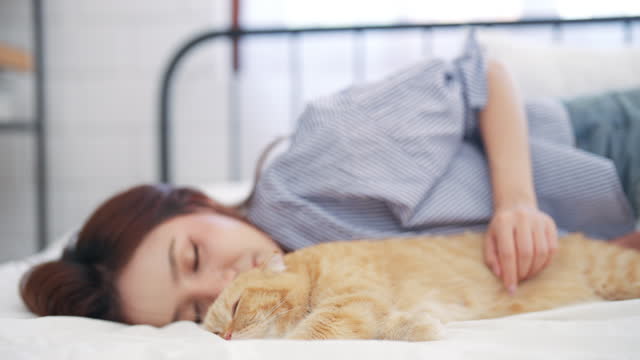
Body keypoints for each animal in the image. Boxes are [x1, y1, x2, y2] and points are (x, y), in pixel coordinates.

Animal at [204, 232, 640, 342]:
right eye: (214, 330)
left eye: (237, 306)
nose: (225, 338)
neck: (315, 269)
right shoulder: (370, 309)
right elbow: (396, 325)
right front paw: (423, 327)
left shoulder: (350, 304)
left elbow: (303, 337)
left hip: (618, 277)